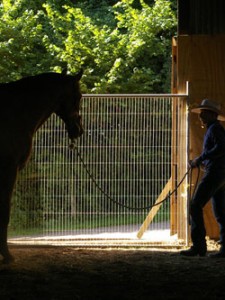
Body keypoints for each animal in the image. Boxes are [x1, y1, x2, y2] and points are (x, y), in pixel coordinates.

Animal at [0, 68, 83, 262]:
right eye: (79, 96)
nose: (79, 130)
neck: (16, 112)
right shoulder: (9, 169)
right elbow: (5, 212)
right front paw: (7, 255)